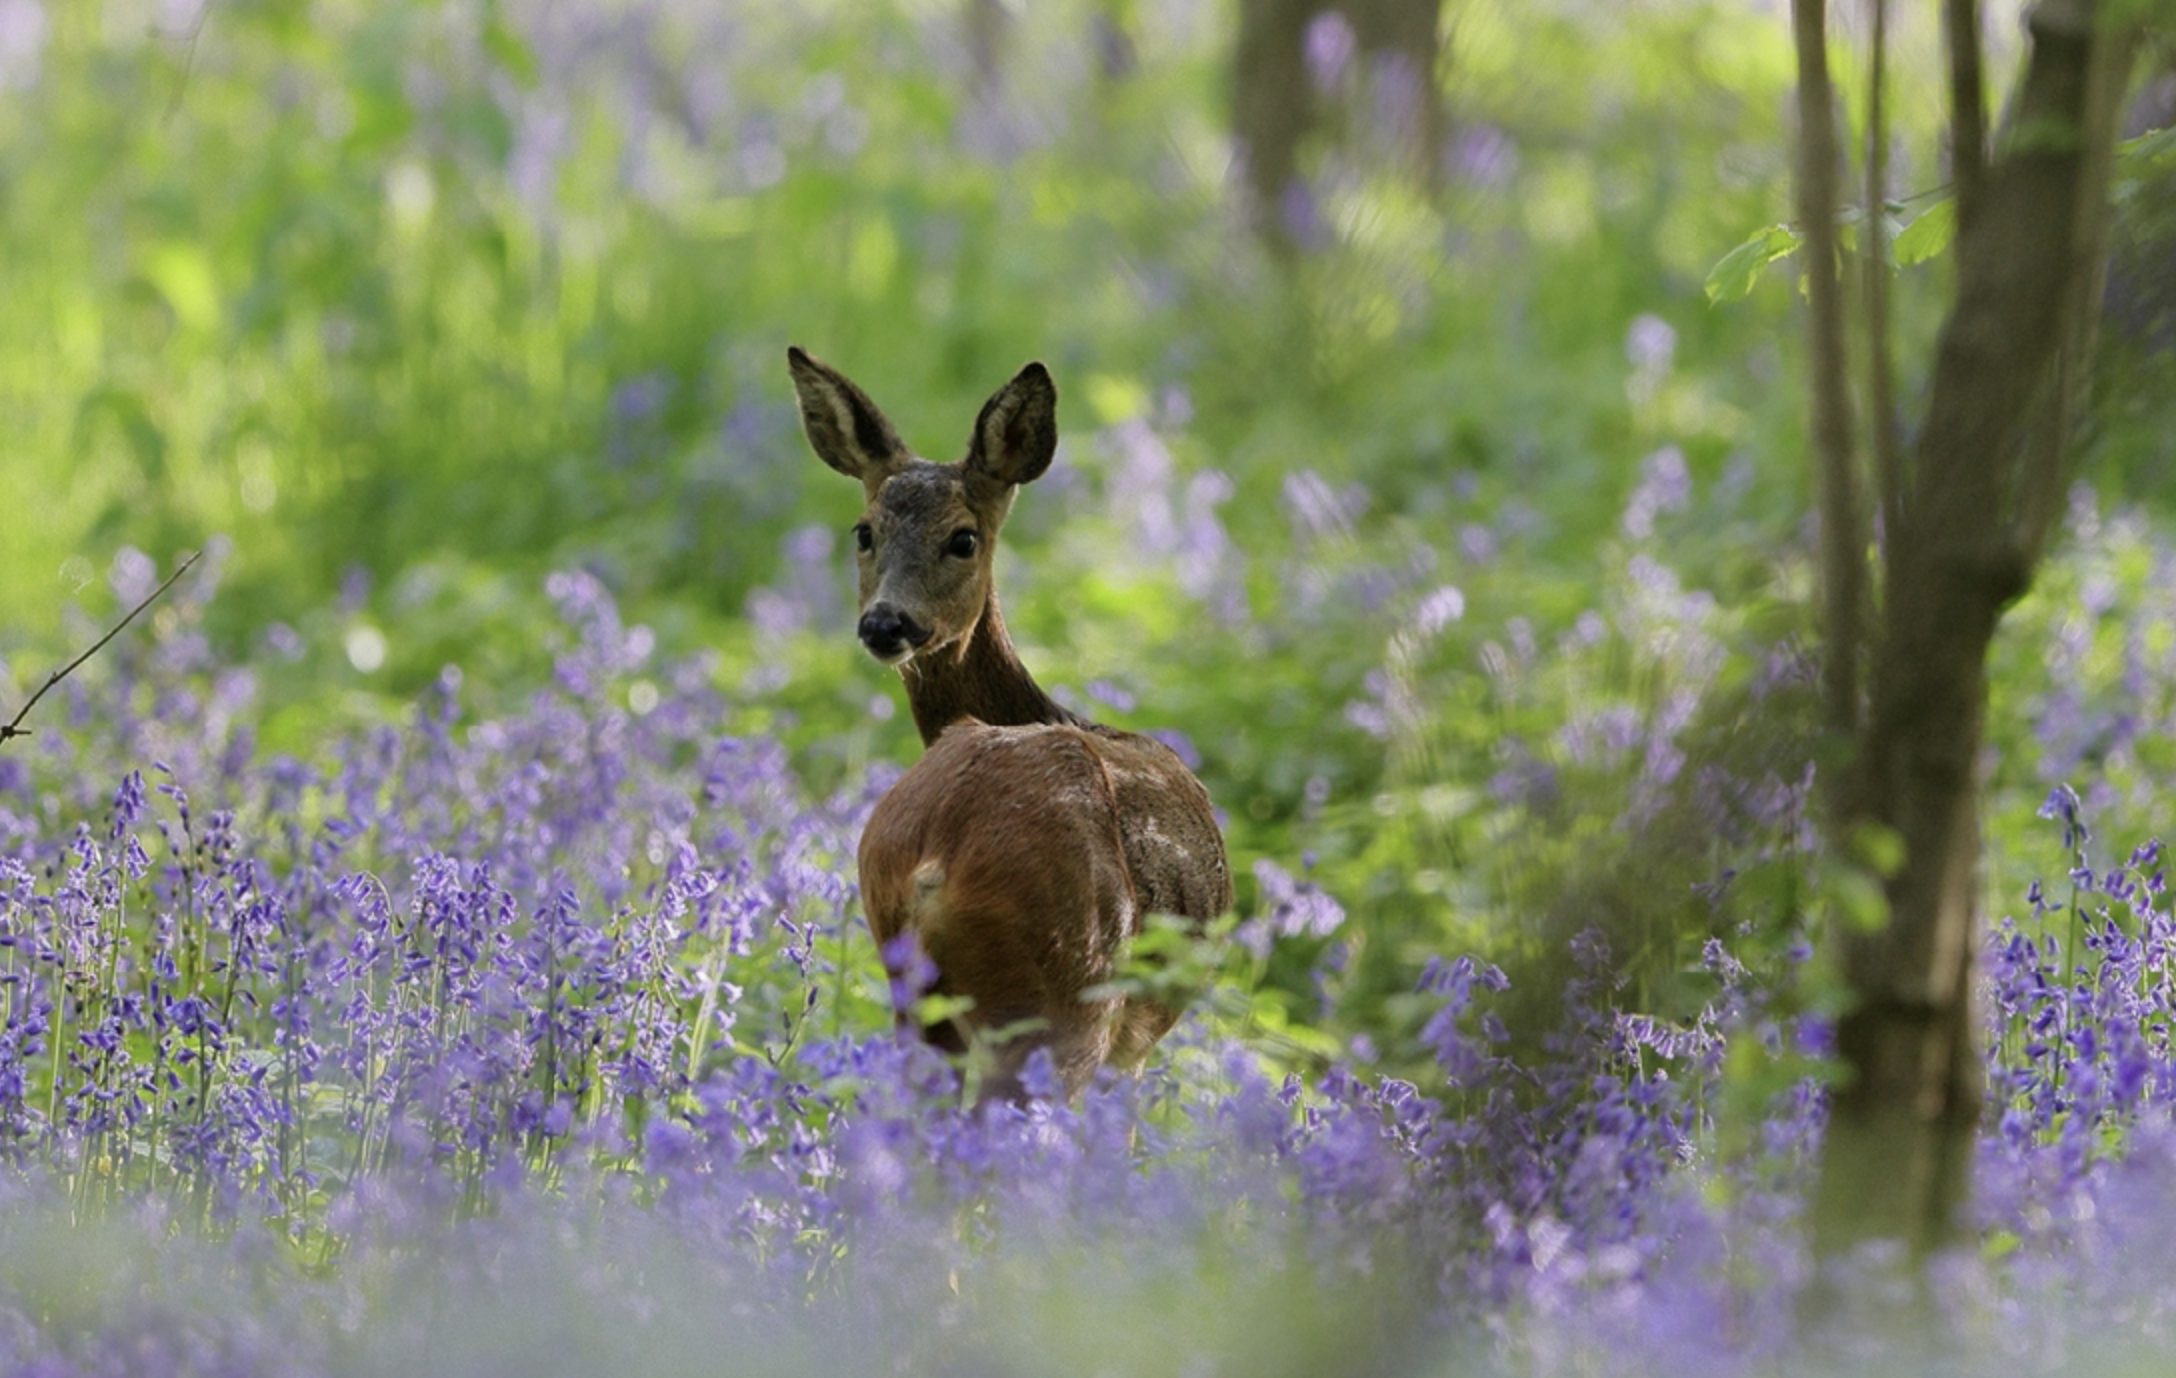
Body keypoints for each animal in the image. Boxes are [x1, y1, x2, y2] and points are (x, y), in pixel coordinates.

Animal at [787, 348, 1235, 1101]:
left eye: (963, 538)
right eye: (866, 531)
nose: (885, 624)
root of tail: (936, 859)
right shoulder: (1133, 1046)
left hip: (914, 988)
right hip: (1062, 993)